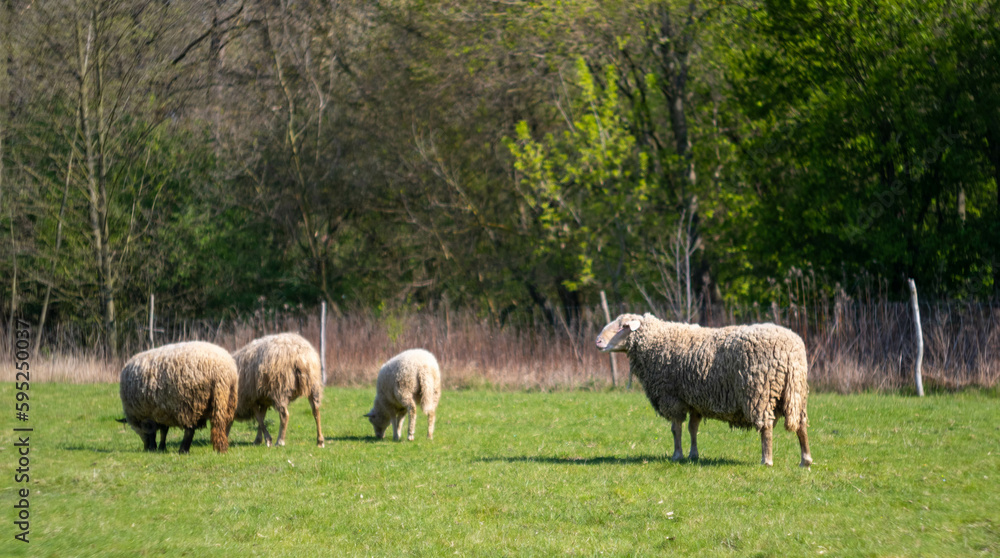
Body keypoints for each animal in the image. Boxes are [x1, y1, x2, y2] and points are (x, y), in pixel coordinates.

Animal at [592, 316, 812, 468]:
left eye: (622, 326)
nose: (598, 342)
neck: (656, 342)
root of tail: (791, 350)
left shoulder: (672, 398)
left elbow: (676, 429)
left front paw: (677, 455)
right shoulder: (694, 400)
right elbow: (693, 428)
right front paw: (693, 455)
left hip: (760, 392)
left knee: (765, 427)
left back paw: (766, 460)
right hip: (796, 391)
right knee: (801, 424)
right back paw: (805, 460)